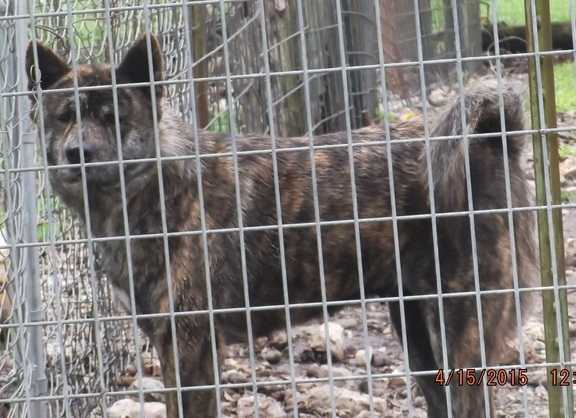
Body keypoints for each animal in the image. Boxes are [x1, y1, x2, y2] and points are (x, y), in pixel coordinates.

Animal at [27, 36, 536, 418]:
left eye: (114, 118)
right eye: (64, 117)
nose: (78, 154)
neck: (150, 190)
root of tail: (492, 140)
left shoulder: (191, 347)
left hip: (459, 334)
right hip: (419, 340)